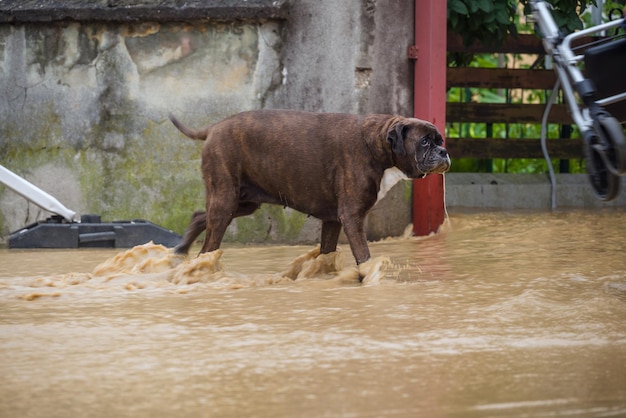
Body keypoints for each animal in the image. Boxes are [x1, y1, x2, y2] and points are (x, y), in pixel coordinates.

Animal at [168, 109, 446, 270]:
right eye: (425, 142)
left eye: (440, 141)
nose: (444, 151)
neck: (377, 143)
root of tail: (214, 127)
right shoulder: (351, 217)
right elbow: (363, 255)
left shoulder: (333, 220)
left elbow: (326, 252)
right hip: (225, 200)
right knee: (208, 246)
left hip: (241, 203)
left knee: (199, 217)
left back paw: (180, 251)